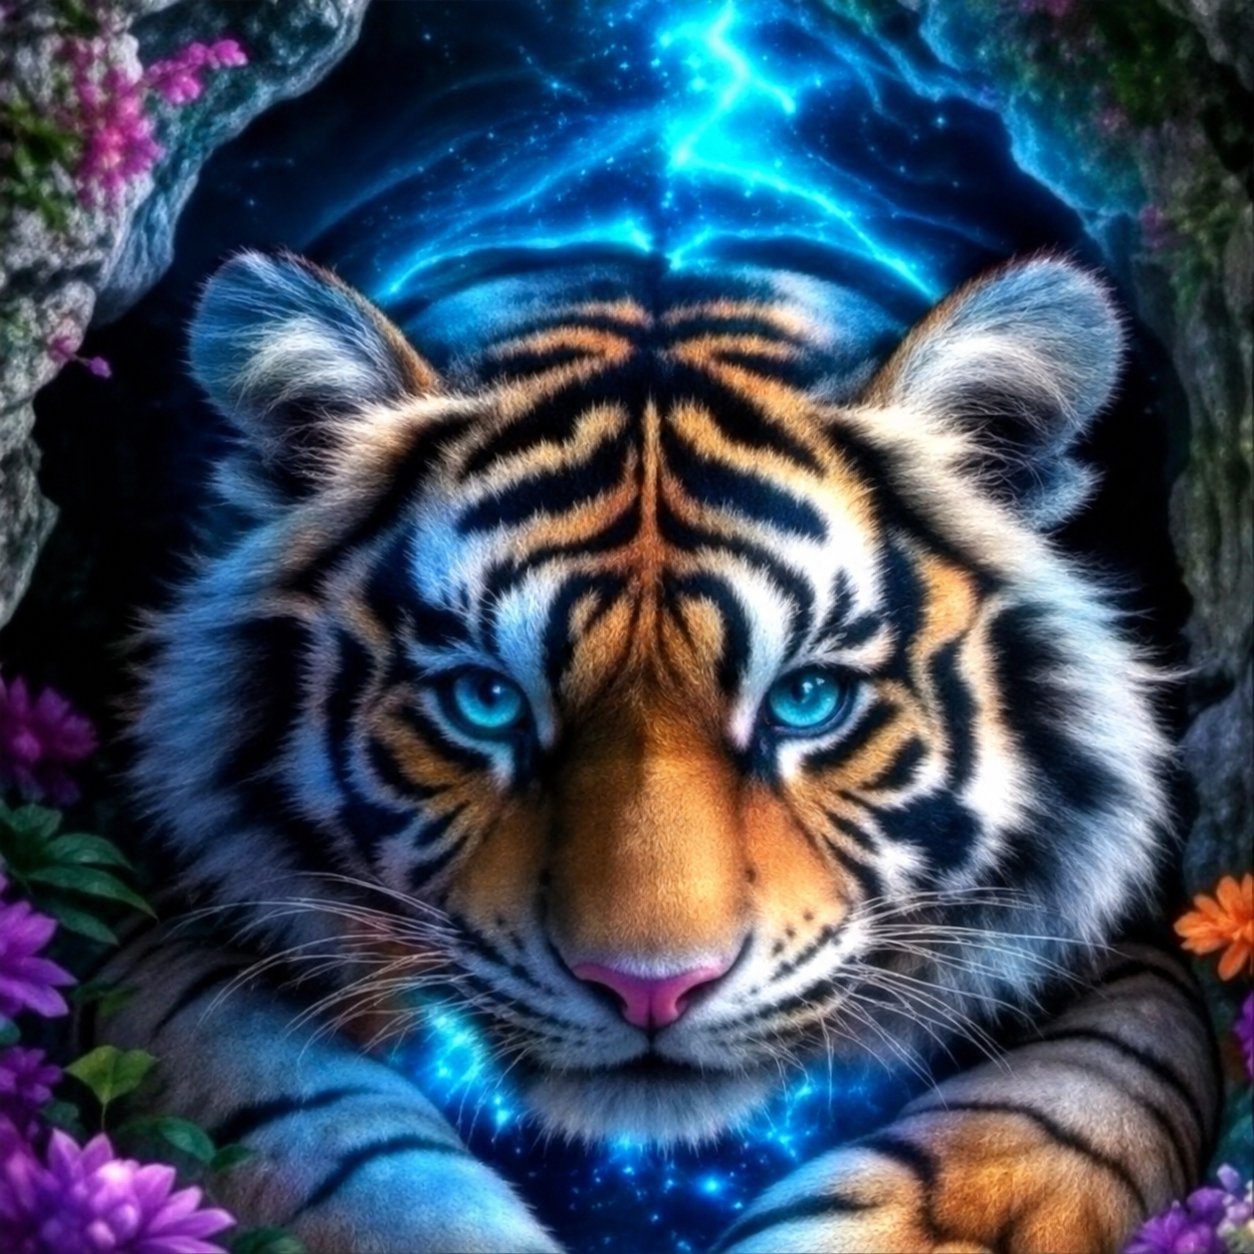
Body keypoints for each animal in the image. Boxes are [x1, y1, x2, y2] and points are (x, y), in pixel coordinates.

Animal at [88, 248, 1220, 1253]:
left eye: (806, 700)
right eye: (485, 701)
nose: (649, 991)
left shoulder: (1135, 963)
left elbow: (1065, 1106)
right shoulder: (171, 932)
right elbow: (324, 1141)